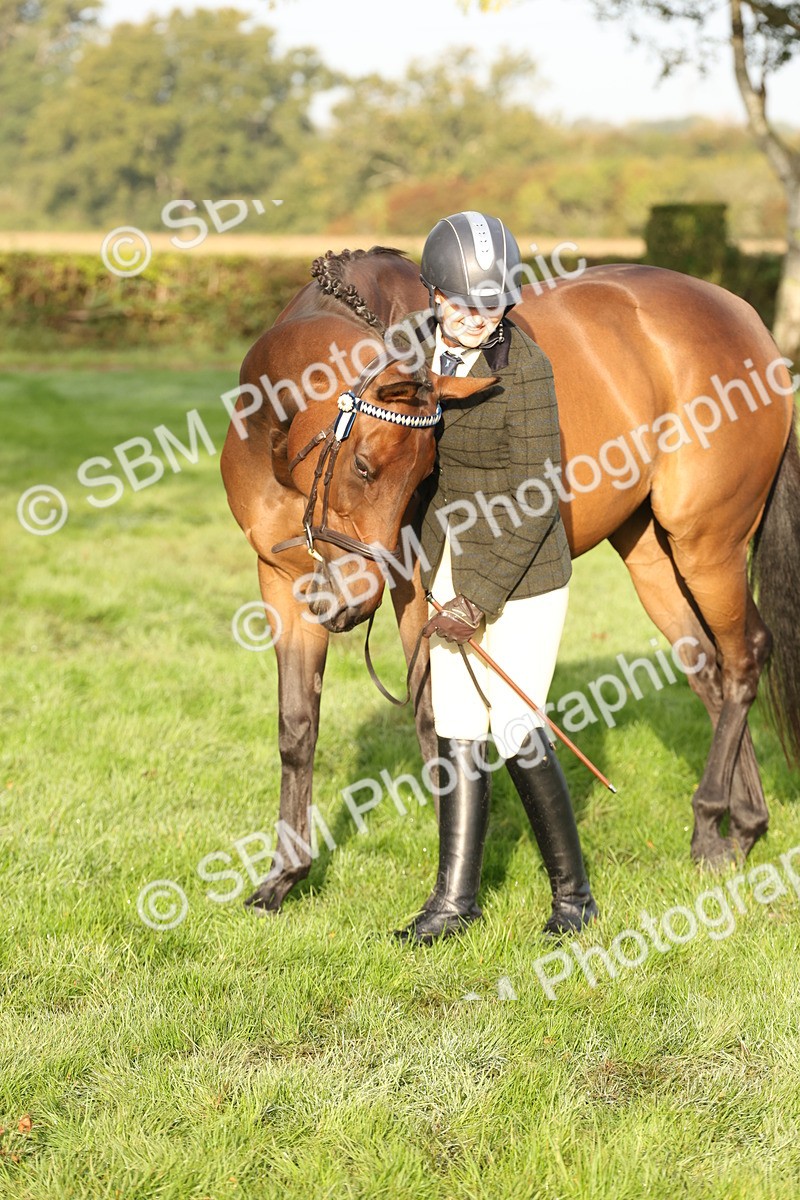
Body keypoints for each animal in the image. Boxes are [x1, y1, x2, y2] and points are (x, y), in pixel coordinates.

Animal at [221, 246, 800, 914]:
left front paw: (451, 882)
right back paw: (741, 826)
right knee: (708, 665)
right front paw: (282, 879)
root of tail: (747, 321)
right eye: (363, 467)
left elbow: (431, 720)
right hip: (653, 555)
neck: (272, 435)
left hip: (708, 546)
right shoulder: (281, 581)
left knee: (744, 657)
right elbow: (297, 727)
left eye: (426, 472)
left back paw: (711, 824)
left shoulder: (418, 588)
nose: (352, 602)